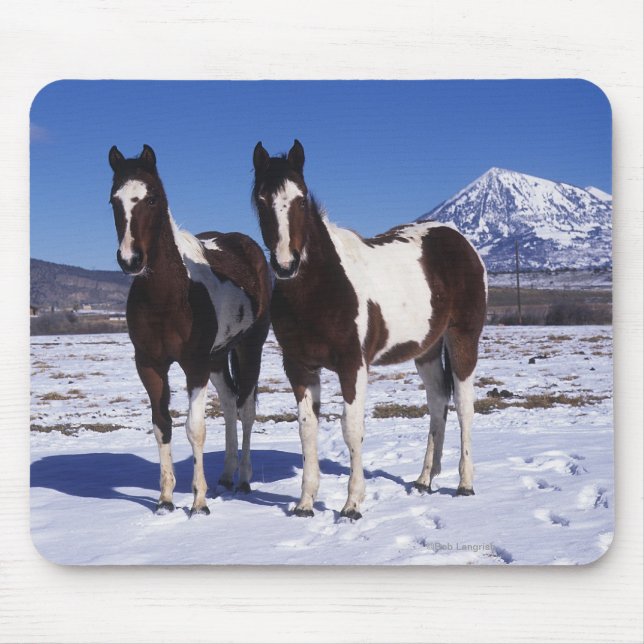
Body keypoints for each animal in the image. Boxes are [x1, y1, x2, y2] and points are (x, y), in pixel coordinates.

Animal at [108, 144, 271, 516]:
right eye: (113, 201)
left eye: (152, 198)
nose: (130, 260)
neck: (170, 295)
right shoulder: (150, 366)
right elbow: (162, 426)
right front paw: (166, 499)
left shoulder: (194, 365)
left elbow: (194, 429)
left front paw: (198, 503)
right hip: (218, 357)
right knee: (229, 404)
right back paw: (225, 476)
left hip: (248, 349)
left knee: (246, 410)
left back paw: (243, 479)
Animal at [252, 140, 487, 520]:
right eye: (261, 200)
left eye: (301, 198)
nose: (286, 265)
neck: (321, 288)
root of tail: (460, 241)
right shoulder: (299, 367)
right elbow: (307, 429)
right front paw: (304, 504)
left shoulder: (353, 365)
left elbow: (352, 428)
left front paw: (352, 504)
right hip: (427, 349)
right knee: (438, 401)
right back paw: (424, 480)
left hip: (463, 337)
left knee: (464, 405)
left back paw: (465, 484)